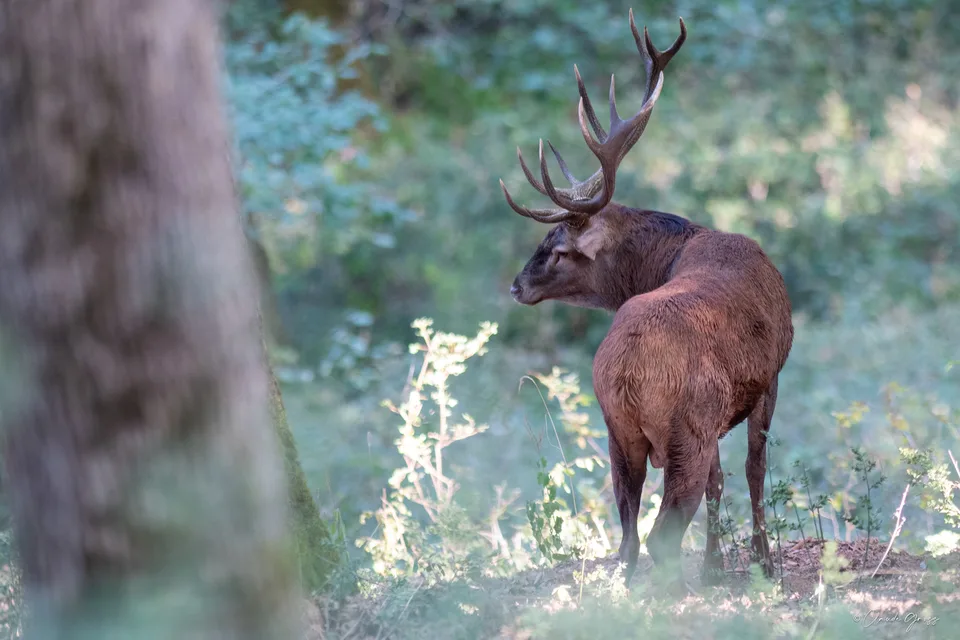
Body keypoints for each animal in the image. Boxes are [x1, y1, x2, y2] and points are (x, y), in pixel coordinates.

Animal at [500, 11, 794, 593]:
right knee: (661, 532)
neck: (676, 250)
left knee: (629, 537)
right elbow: (753, 469)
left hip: (618, 433)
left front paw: (716, 565)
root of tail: (629, 372)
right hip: (687, 429)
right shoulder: (770, 375)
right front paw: (760, 563)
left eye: (557, 249)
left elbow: (723, 481)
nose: (518, 286)